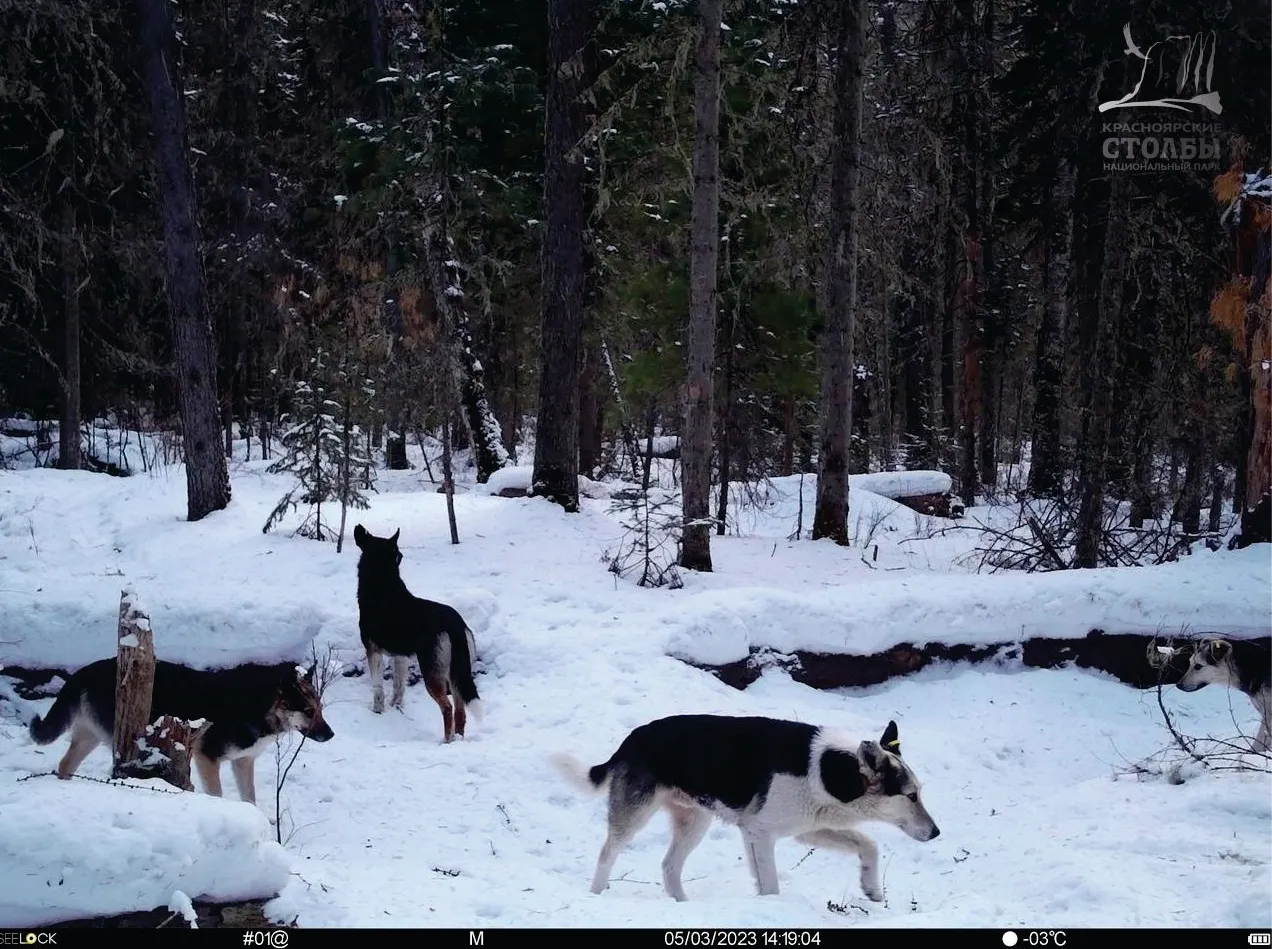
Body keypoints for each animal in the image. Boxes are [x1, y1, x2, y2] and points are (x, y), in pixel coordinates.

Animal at [552, 712, 941, 900]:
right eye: (911, 796)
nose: (936, 832)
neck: (831, 771)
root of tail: (632, 738)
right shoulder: (759, 833)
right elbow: (770, 885)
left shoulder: (809, 829)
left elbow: (868, 845)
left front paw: (871, 888)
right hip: (635, 815)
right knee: (607, 853)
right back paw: (597, 896)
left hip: (695, 821)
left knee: (669, 866)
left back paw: (682, 905)